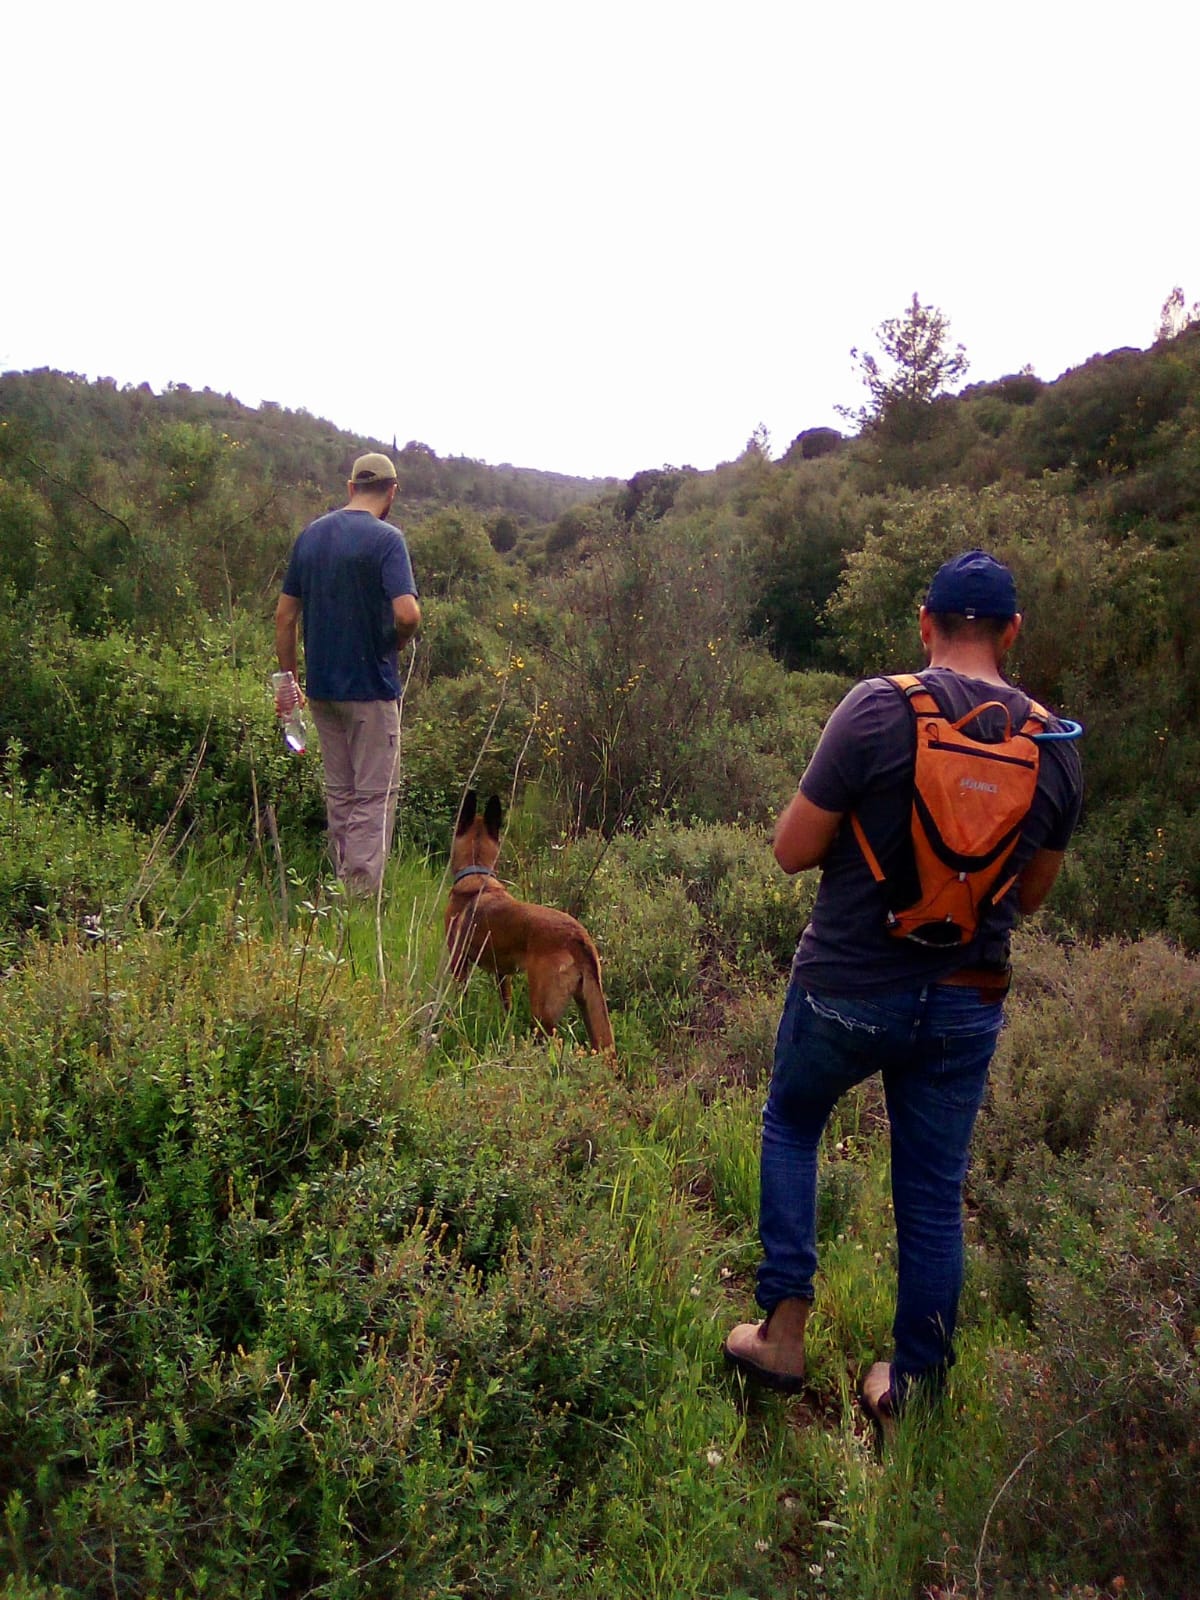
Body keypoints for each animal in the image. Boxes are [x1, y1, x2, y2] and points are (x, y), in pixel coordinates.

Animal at [448, 793, 614, 1056]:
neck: (477, 874)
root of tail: (578, 936)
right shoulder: (502, 974)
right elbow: (506, 1005)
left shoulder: (458, 963)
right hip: (588, 1006)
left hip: (542, 1011)